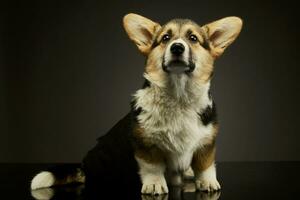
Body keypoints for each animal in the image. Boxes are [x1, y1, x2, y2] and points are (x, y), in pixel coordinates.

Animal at [29, 13, 241, 196]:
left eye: (193, 38)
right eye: (165, 38)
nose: (177, 48)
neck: (179, 97)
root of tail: (84, 166)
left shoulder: (206, 143)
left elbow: (205, 165)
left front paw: (208, 182)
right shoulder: (146, 144)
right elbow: (153, 167)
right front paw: (154, 185)